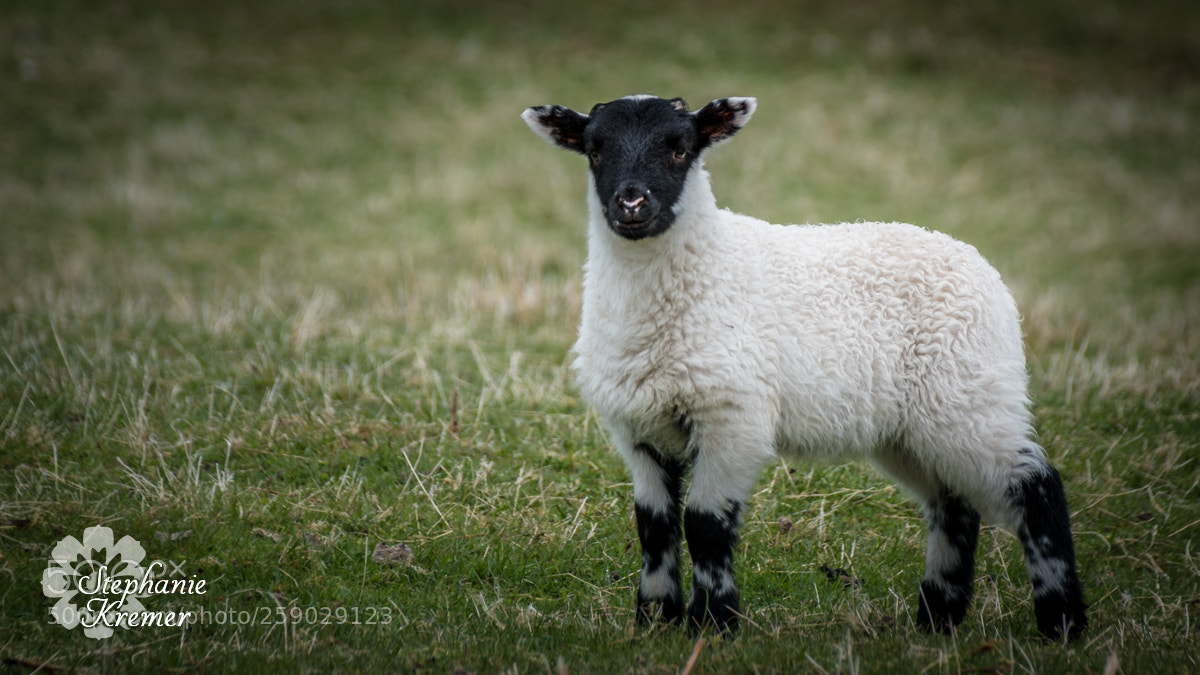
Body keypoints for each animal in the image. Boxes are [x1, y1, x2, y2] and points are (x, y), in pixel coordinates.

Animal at [521, 94, 1087, 641]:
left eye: (680, 149)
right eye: (595, 151)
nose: (632, 203)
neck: (706, 269)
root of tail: (982, 267)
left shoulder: (734, 418)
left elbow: (705, 525)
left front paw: (714, 625)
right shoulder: (640, 428)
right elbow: (654, 526)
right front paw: (655, 622)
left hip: (967, 392)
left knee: (1035, 487)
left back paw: (1061, 624)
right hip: (911, 428)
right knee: (954, 507)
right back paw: (936, 622)